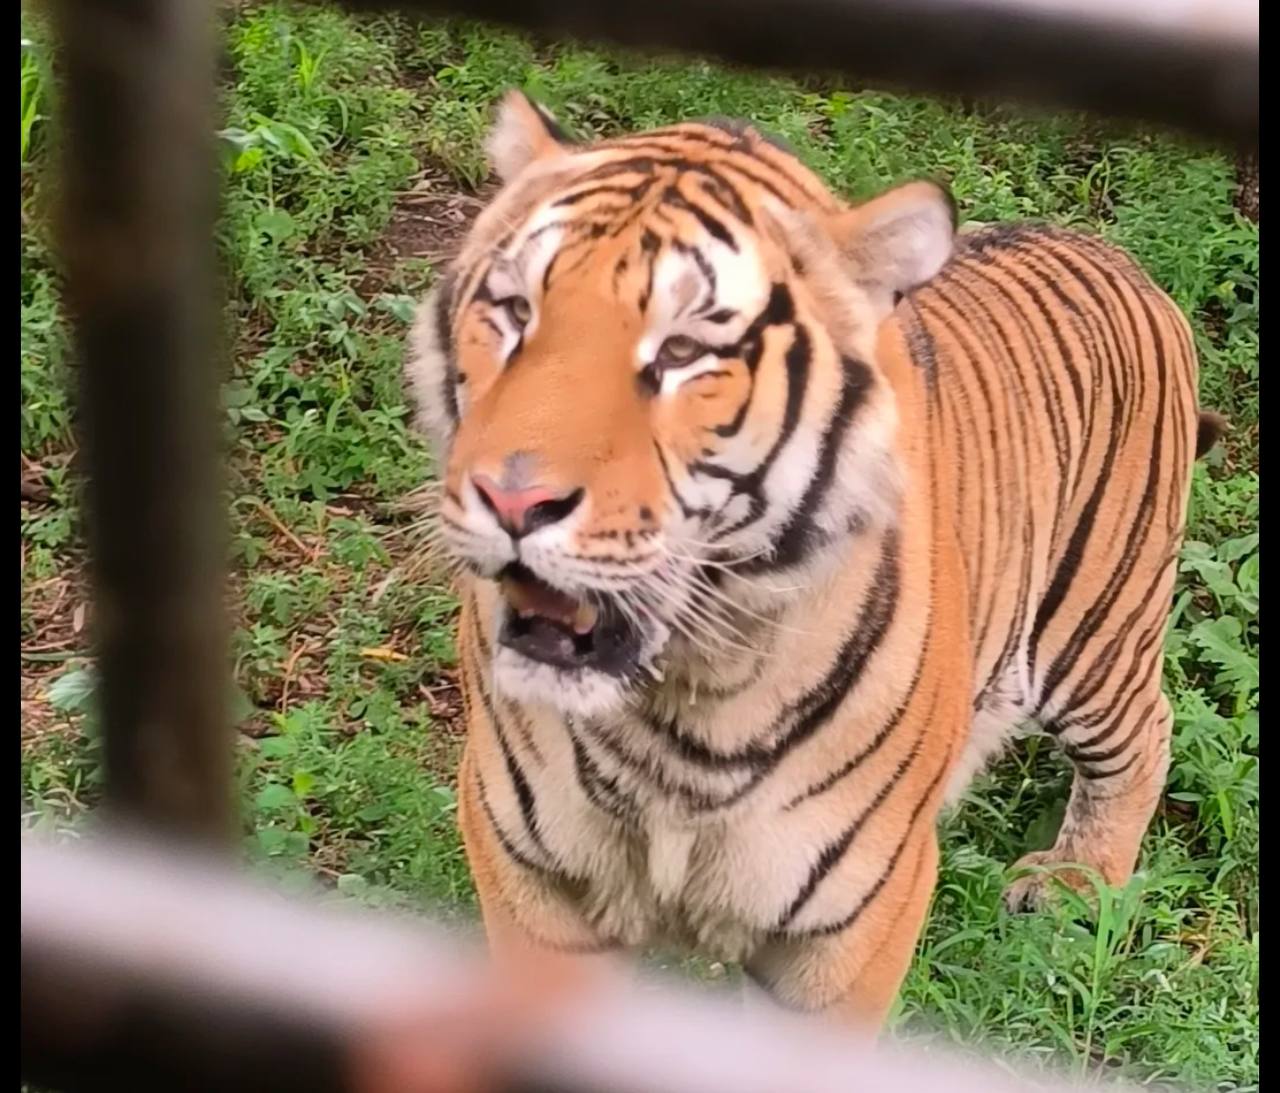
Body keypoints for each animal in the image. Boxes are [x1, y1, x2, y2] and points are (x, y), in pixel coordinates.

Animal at [403, 89, 1223, 1026]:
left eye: (683, 352)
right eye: (513, 311)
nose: (512, 500)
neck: (678, 707)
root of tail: (1123, 259)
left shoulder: (855, 925)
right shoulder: (532, 878)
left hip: (1094, 627)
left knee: (1147, 731)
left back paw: (1074, 884)